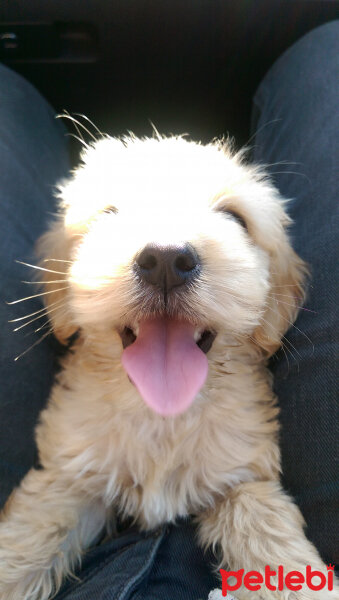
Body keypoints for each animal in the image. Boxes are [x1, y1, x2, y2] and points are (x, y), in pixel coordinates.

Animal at [0, 136, 338, 600]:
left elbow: (263, 525)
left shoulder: (241, 472)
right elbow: (30, 535)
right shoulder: (69, 475)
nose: (165, 258)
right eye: (108, 214)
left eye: (236, 218)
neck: (162, 415)